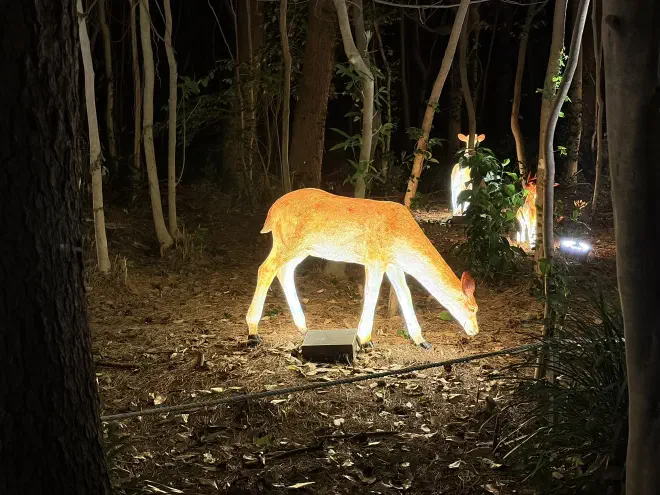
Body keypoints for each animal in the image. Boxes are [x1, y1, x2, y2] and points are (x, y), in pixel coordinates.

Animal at [246, 188, 479, 350]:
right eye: (473, 308)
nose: (475, 331)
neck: (402, 235)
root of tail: (272, 212)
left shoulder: (392, 263)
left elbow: (405, 294)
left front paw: (422, 341)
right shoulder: (374, 257)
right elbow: (372, 293)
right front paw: (365, 340)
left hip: (302, 248)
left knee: (283, 271)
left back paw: (303, 326)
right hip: (288, 242)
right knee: (265, 269)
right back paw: (253, 333)